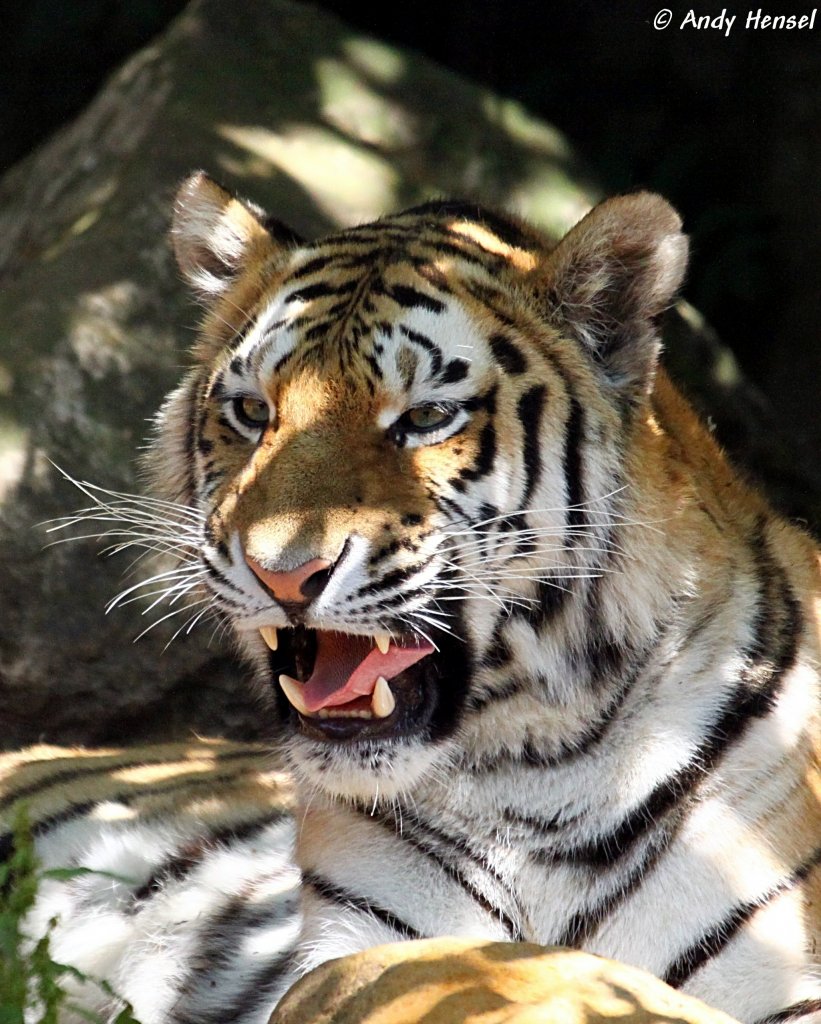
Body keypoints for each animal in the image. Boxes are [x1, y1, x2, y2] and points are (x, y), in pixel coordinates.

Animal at [3, 176, 814, 1024]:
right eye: (253, 412)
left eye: (425, 418)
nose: (281, 573)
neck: (536, 766)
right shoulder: (361, 933)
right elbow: (432, 969)